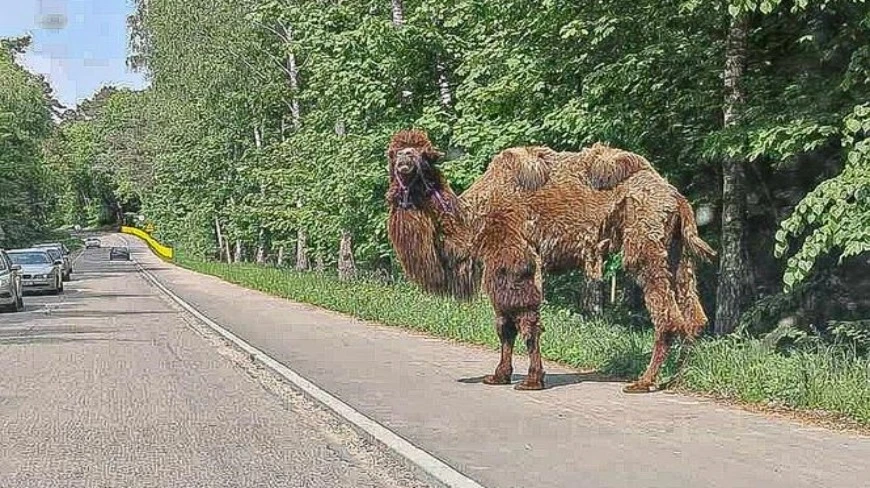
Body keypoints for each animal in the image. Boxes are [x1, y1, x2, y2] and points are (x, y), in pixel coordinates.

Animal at [386, 130, 716, 392]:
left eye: (422, 156)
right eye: (394, 152)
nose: (404, 164)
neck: (473, 219)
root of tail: (676, 197)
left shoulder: (513, 259)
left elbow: (525, 321)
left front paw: (532, 380)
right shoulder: (498, 267)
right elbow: (504, 323)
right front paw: (499, 376)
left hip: (645, 240)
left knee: (666, 314)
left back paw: (643, 382)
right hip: (676, 251)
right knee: (693, 315)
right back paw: (676, 376)